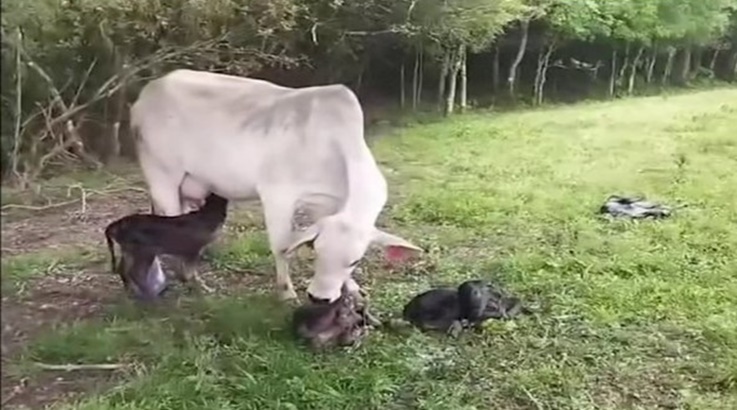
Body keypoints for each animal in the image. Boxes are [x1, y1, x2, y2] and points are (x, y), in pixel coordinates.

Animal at [129, 69, 422, 302]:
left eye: (355, 261)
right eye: (317, 252)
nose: (319, 298)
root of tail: (146, 94)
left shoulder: (325, 204)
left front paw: (352, 288)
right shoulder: (277, 195)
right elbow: (282, 245)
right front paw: (286, 292)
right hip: (162, 173)